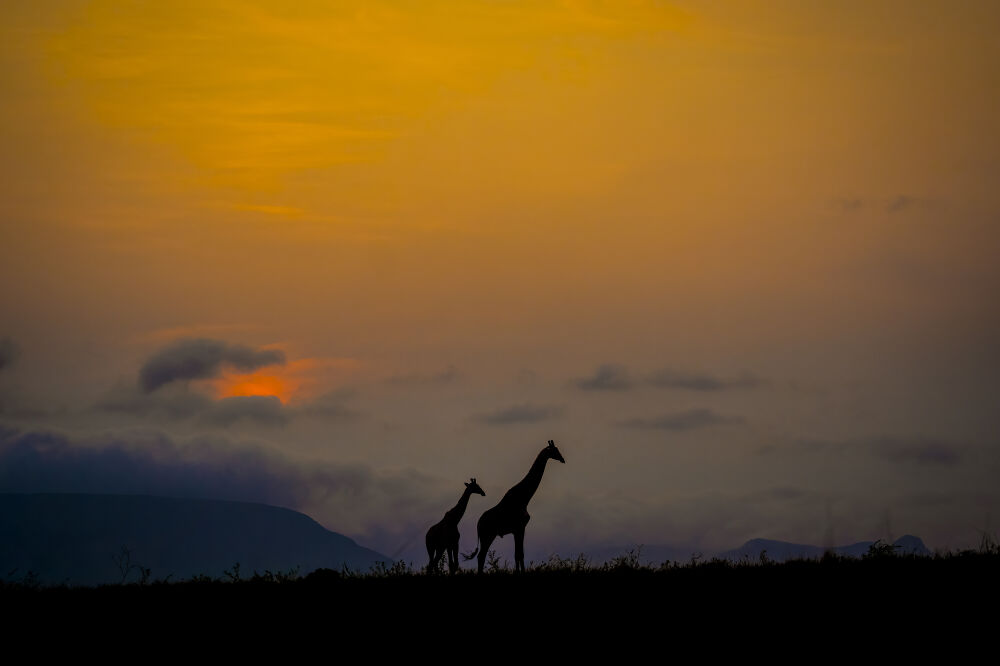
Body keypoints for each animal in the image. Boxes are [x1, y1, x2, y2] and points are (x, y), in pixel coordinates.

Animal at [464, 438, 568, 572]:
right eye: (554, 450)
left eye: (558, 449)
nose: (562, 459)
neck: (524, 498)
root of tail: (478, 524)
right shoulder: (520, 527)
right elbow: (520, 554)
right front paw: (521, 572)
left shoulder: (516, 530)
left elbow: (517, 554)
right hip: (487, 535)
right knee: (481, 555)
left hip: (488, 536)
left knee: (481, 556)